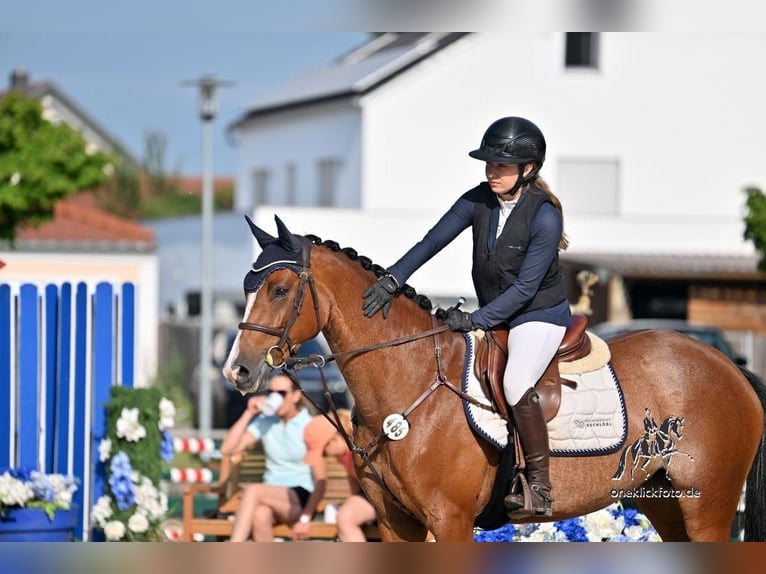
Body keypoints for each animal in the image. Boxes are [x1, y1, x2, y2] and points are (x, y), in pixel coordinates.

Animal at [223, 215, 766, 542]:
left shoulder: (452, 520)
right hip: (666, 506)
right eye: (247, 287)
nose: (238, 371)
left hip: (708, 506)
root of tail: (731, 367)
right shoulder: (397, 524)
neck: (407, 385)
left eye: (279, 289)